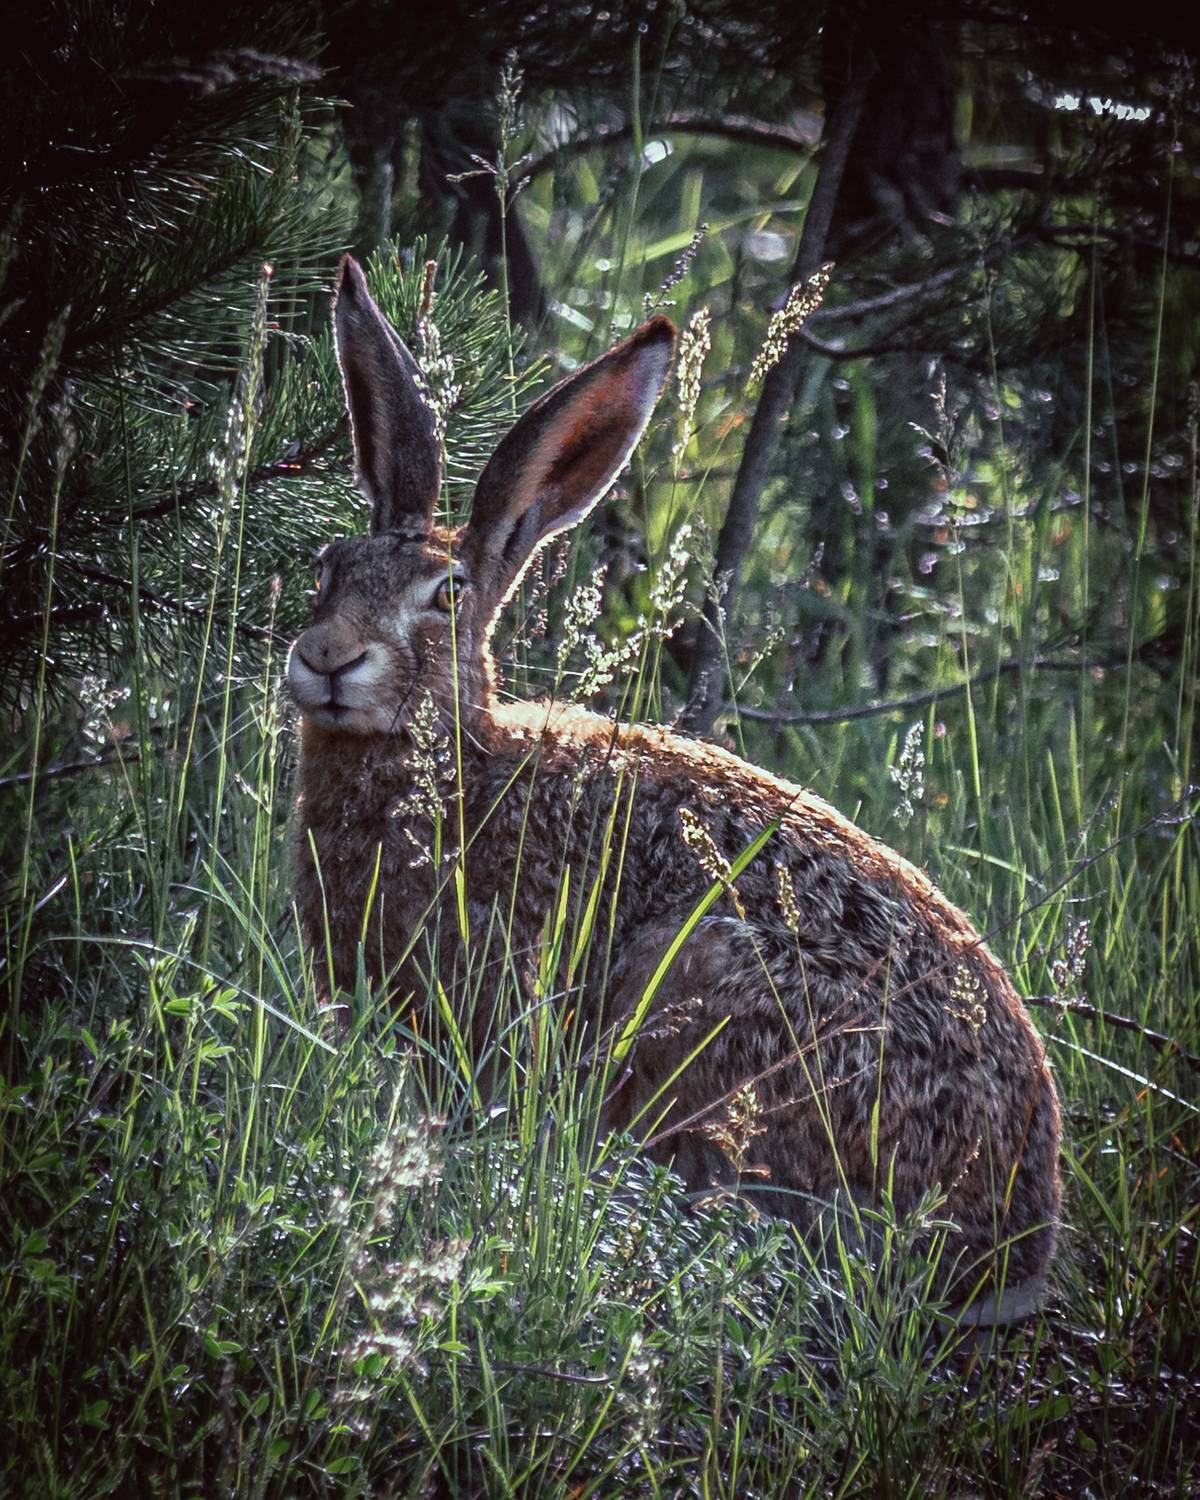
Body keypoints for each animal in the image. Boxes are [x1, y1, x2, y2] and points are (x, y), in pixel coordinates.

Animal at [287, 256, 1061, 1325]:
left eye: (446, 597)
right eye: (326, 570)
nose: (326, 659)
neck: (452, 754)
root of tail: (1012, 1246)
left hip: (708, 997)